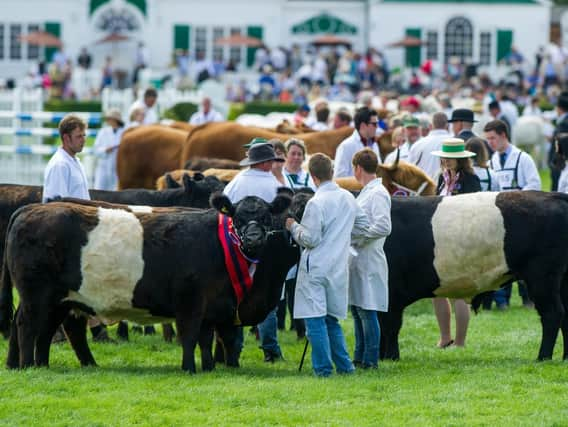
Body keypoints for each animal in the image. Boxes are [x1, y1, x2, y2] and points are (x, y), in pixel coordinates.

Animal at [0, 192, 292, 372]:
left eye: (266, 217)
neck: (218, 246)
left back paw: (41, 364)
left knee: (46, 330)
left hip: (59, 299)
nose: (253, 238)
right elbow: (190, 336)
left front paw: (211, 367)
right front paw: (189, 368)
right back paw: (28, 365)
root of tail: (33, 208)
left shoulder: (214, 305)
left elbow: (209, 338)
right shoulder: (190, 302)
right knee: (27, 325)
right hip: (37, 296)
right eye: (238, 218)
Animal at [382, 192, 568, 362]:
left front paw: (389, 357)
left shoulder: (391, 290)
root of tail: (553, 195)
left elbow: (390, 324)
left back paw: (543, 357)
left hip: (542, 278)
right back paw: (565, 357)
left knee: (552, 314)